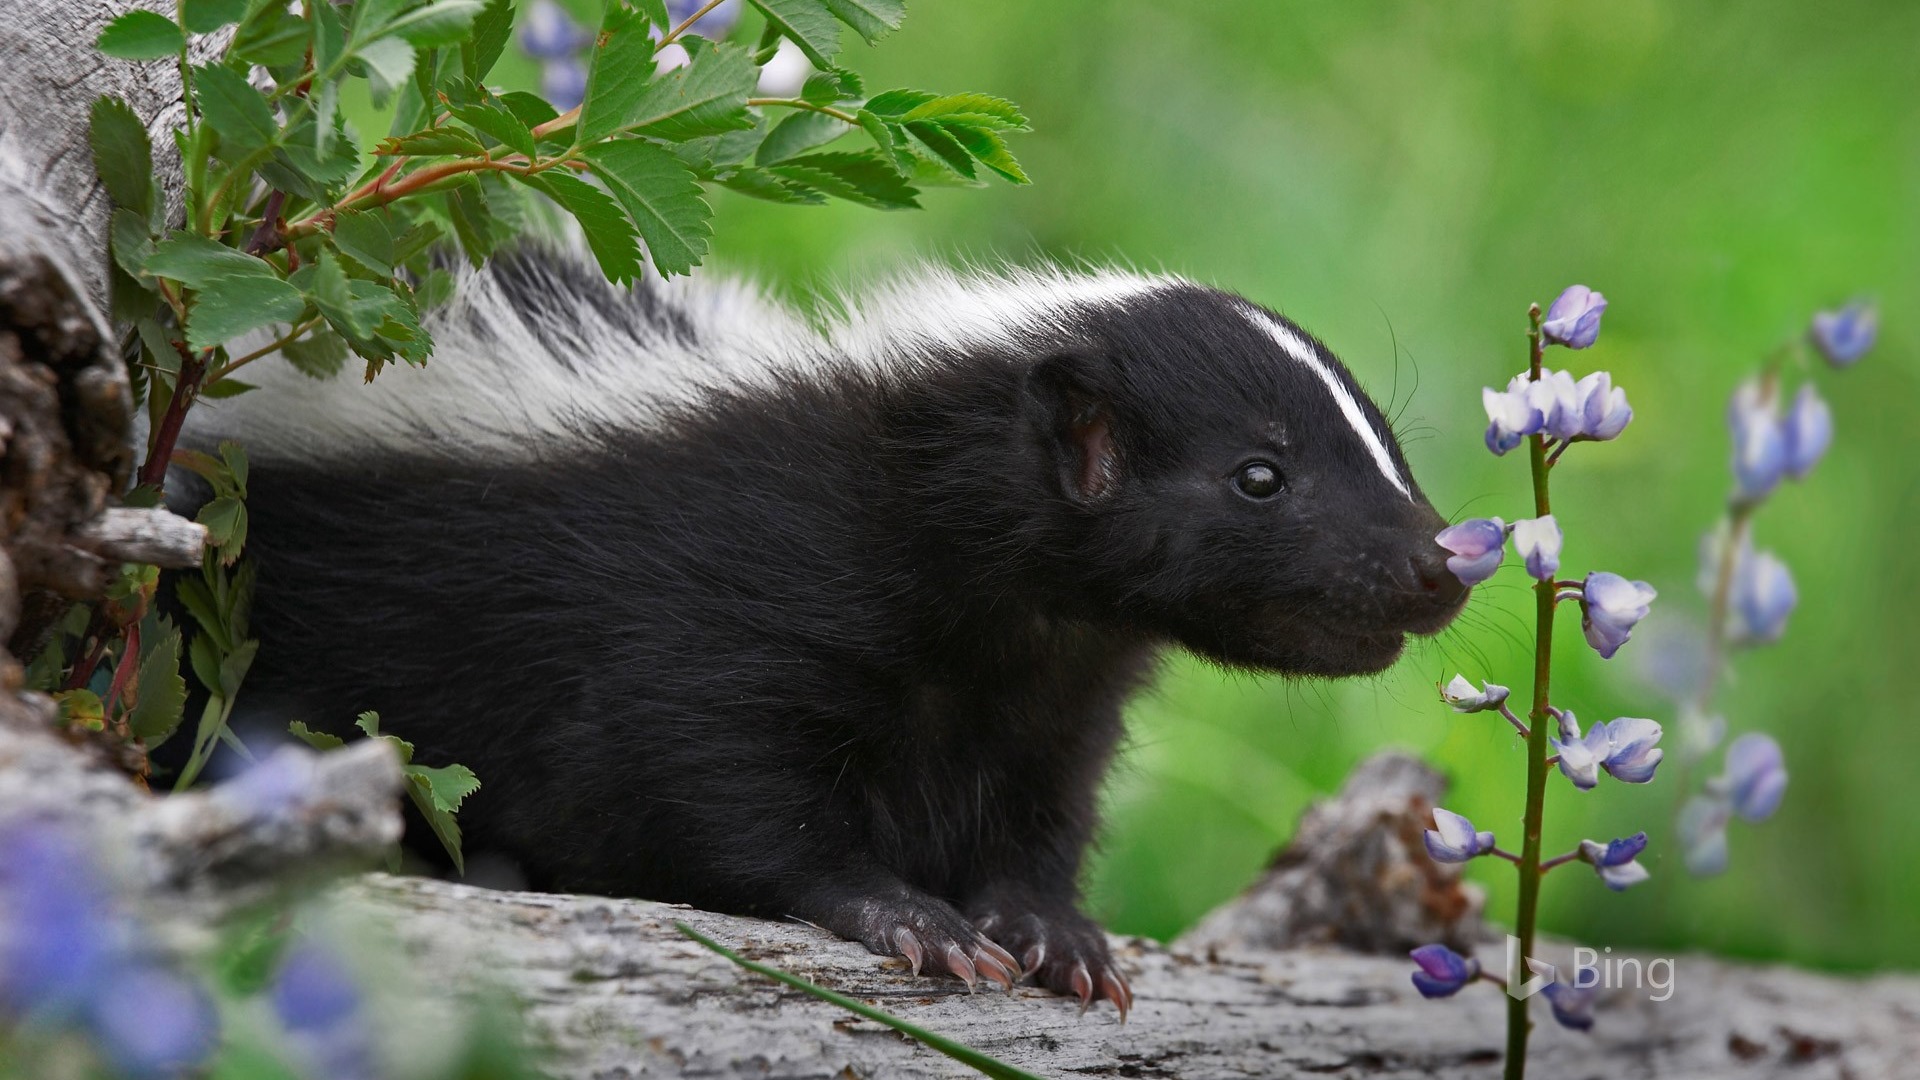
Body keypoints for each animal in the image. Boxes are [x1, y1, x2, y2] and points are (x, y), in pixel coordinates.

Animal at [183, 245, 1466, 1006]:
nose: (1441, 565)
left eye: (1386, 445)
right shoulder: (721, 601)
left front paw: (1055, 932)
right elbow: (717, 782)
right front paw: (908, 917)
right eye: (1259, 478)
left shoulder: (1053, 692)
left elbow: (1043, 815)